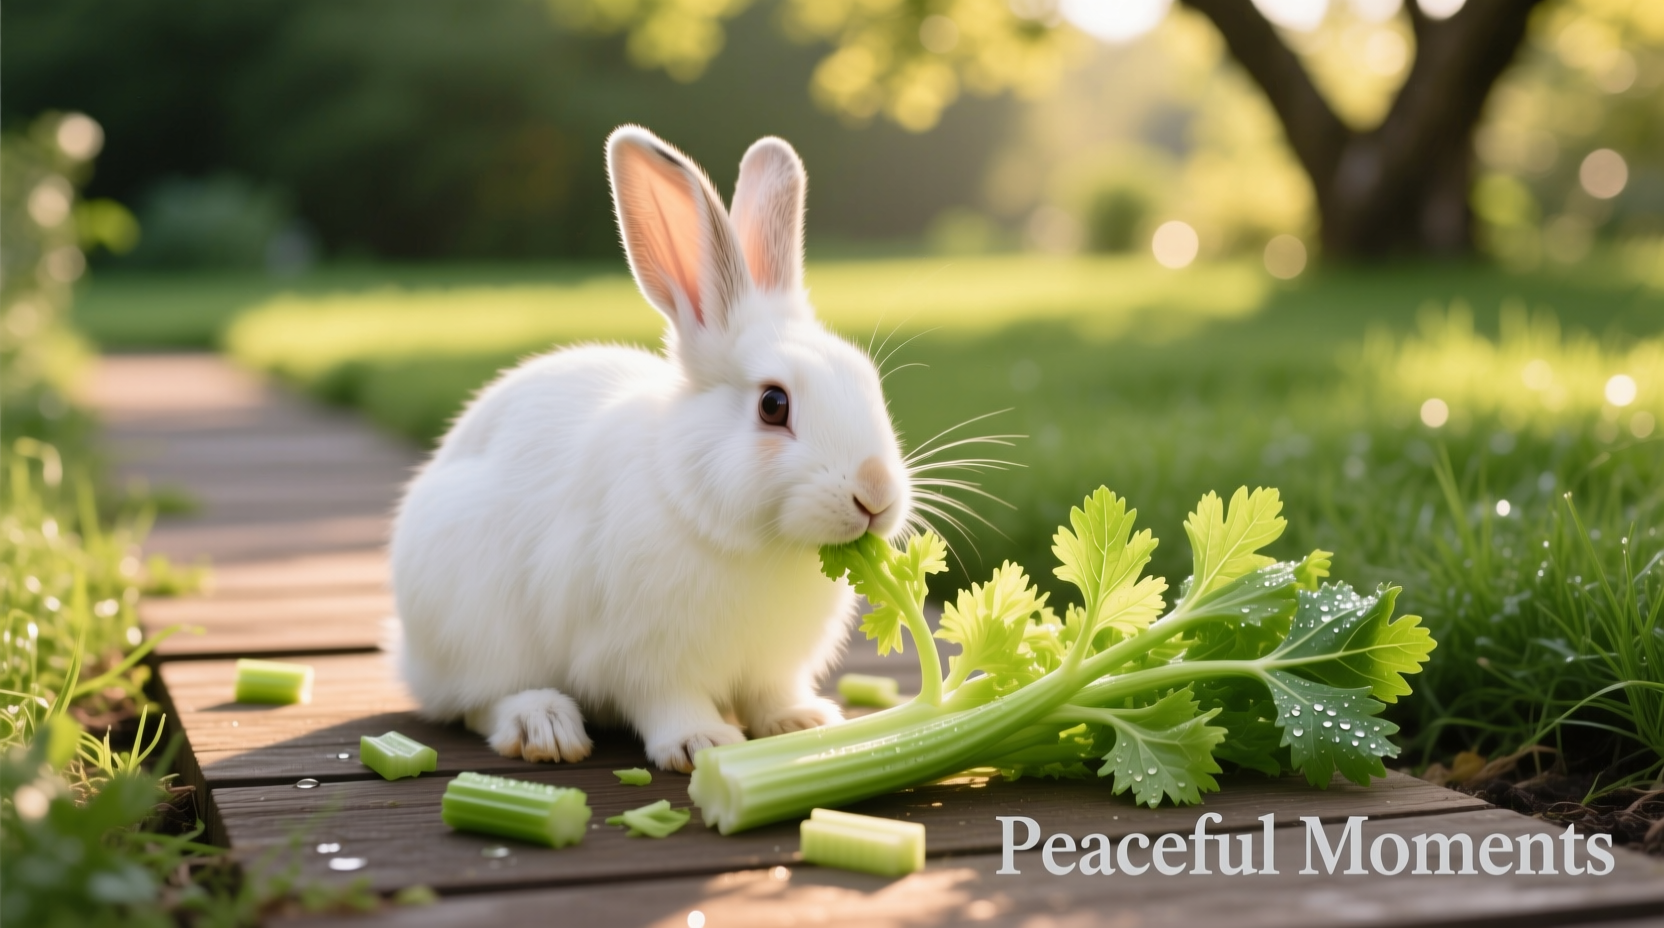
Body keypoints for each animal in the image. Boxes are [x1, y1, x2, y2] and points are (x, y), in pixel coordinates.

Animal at [389, 126, 912, 773]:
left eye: (867, 379)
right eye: (773, 404)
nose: (876, 493)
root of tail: (408, 652)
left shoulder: (772, 666)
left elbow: (771, 694)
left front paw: (803, 722)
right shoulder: (644, 658)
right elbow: (668, 700)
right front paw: (700, 743)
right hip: (473, 625)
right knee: (478, 700)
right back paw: (544, 727)